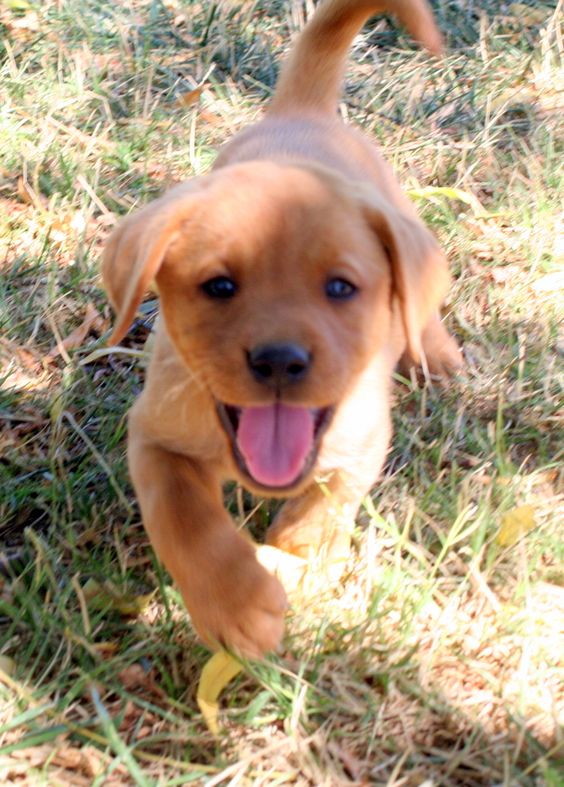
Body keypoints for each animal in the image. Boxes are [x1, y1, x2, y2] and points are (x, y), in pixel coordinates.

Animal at [102, 0, 462, 660]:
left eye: (341, 288)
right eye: (219, 286)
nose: (279, 360)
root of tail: (305, 111)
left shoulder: (362, 443)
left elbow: (323, 509)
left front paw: (297, 567)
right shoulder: (155, 436)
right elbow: (185, 516)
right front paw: (237, 602)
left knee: (424, 298)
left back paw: (439, 355)